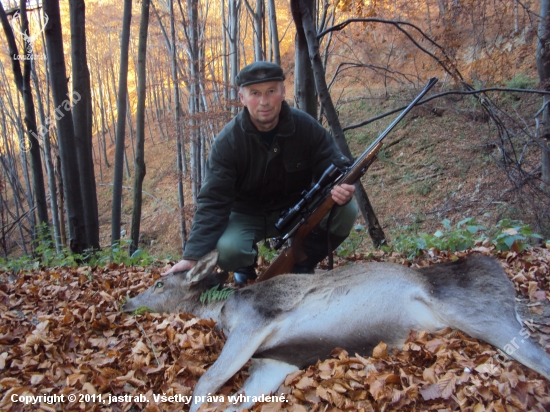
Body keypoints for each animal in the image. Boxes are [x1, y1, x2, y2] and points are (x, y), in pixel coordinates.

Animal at [123, 251, 548, 412]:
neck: (222, 310)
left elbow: (205, 383)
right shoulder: (273, 362)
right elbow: (235, 402)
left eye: (160, 284)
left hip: (483, 315)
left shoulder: (257, 320)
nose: (128, 301)